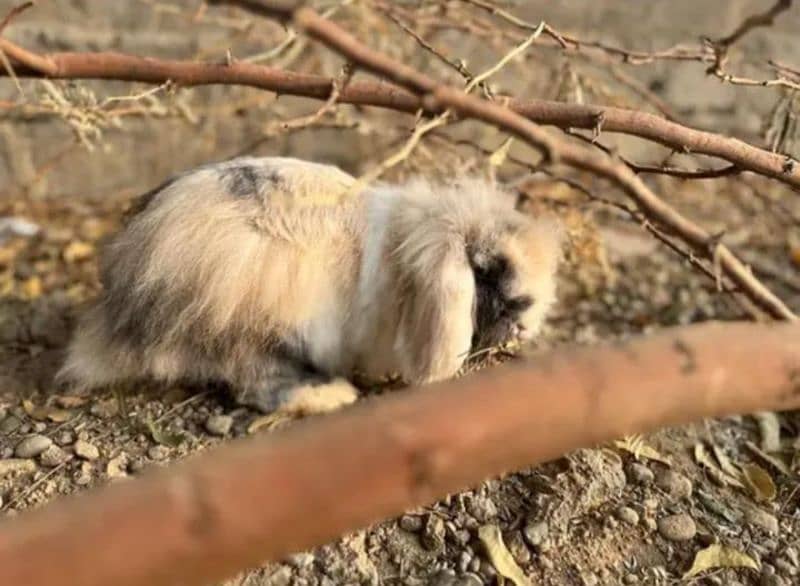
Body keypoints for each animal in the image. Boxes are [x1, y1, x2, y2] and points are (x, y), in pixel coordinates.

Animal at [57, 155, 564, 416]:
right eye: (485, 271)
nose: (524, 321)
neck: (405, 256)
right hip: (255, 318)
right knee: (255, 382)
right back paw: (332, 395)